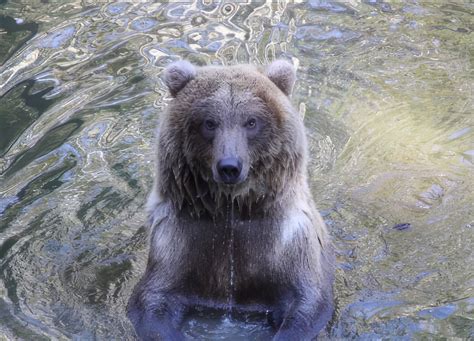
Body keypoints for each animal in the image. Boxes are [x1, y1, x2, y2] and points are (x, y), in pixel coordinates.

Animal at [128, 59, 336, 338]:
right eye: (209, 122)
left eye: (251, 121)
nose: (229, 166)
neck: (232, 209)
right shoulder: (180, 240)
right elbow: (152, 299)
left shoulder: (284, 243)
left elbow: (307, 302)